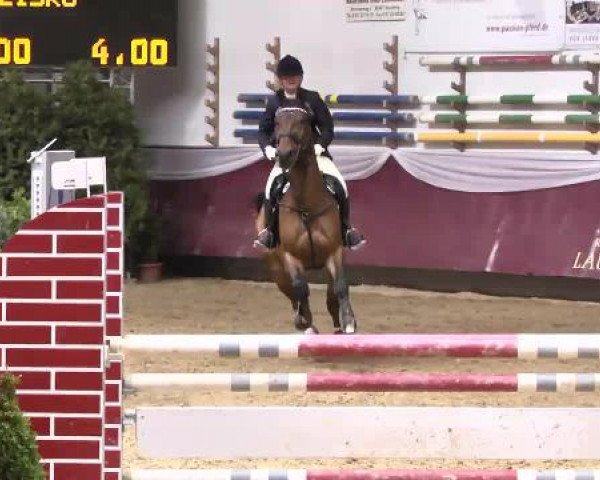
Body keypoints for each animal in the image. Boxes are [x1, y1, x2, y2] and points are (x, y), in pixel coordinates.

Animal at [255, 107, 358, 336]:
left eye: (302, 122)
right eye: (276, 123)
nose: (284, 155)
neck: (306, 205)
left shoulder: (334, 252)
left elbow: (340, 287)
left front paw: (348, 322)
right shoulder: (291, 257)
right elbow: (301, 289)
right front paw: (304, 321)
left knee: (330, 294)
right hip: (277, 269)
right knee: (293, 294)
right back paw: (306, 325)